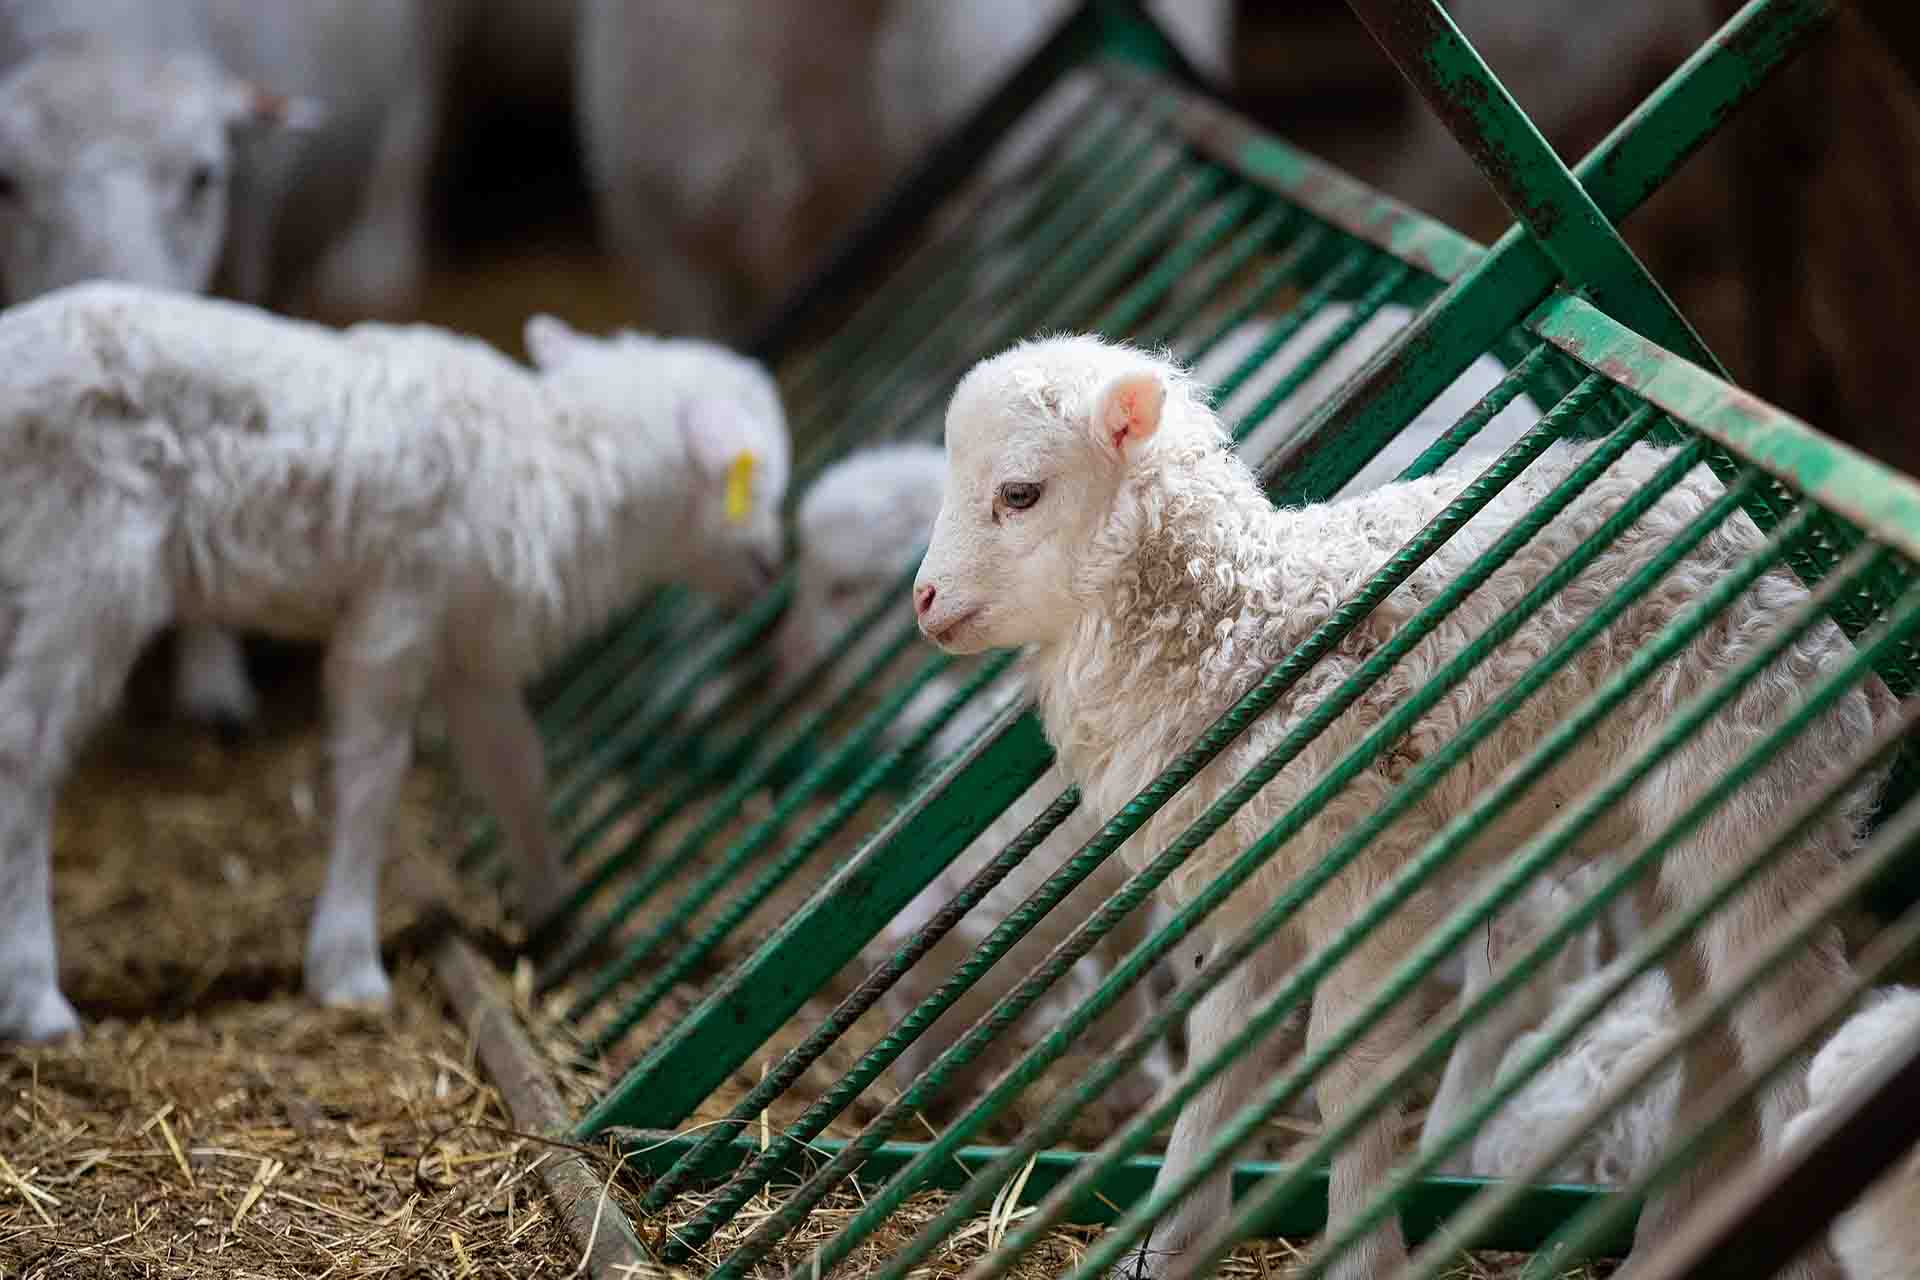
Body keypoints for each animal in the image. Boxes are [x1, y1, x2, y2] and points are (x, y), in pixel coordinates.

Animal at [0, 282, 790, 1043]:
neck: (555, 461)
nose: (773, 567)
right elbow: (373, 778)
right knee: (24, 751)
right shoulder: (398, 605)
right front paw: (348, 964)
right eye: (755, 481)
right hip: (90, 558)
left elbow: (516, 770)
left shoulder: (469, 644)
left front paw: (555, 911)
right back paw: (35, 998)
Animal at [911, 334, 1889, 1280]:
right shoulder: (1250, 887)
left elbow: (1351, 1075)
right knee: (1714, 1030)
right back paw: (1664, 1245)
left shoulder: (1368, 866)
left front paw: (1361, 1257)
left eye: (1020, 493)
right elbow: (1217, 1066)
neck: (1238, 626)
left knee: (1788, 1020)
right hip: (1671, 836)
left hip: (1760, 781)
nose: (925, 602)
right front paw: (1169, 1250)